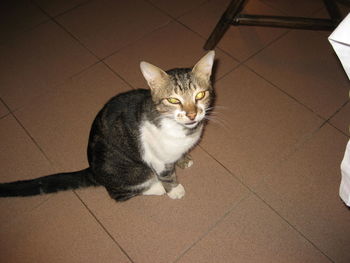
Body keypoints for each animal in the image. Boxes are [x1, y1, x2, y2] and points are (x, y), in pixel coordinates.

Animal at [0, 51, 215, 202]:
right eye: (173, 100)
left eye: (200, 95)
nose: (192, 114)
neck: (182, 129)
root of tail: (93, 170)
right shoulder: (158, 160)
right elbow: (167, 175)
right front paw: (175, 190)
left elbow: (178, 155)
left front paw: (183, 160)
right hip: (133, 171)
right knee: (119, 194)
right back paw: (156, 188)